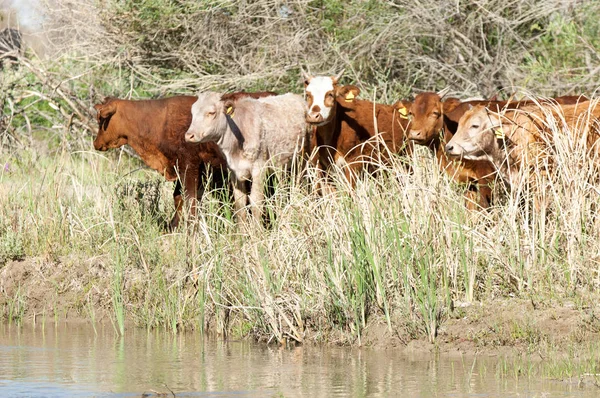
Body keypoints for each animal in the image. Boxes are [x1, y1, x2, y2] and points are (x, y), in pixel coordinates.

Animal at [92, 91, 276, 229]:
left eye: (101, 119)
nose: (96, 143)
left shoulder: (190, 166)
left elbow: (190, 201)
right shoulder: (184, 170)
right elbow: (178, 198)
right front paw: (173, 226)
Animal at [185, 91, 312, 221]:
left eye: (211, 112)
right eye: (193, 112)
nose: (189, 135)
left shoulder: (259, 169)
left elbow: (256, 202)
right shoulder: (234, 171)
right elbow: (240, 204)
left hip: (304, 157)